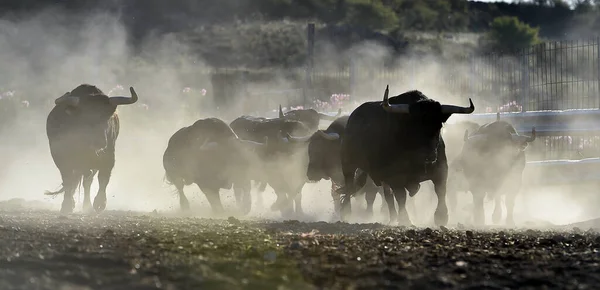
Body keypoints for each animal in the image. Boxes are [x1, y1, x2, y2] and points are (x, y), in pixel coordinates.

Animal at [45, 82, 139, 214]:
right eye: (86, 118)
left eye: (107, 118)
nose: (100, 141)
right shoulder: (61, 157)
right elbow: (68, 179)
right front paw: (67, 205)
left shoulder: (109, 157)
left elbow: (103, 178)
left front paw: (99, 203)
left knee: (87, 181)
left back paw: (87, 205)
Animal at [338, 86, 474, 227]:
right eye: (413, 125)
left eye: (438, 125)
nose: (429, 154)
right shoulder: (395, 176)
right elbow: (401, 197)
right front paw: (405, 219)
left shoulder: (441, 170)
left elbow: (440, 191)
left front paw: (441, 217)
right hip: (348, 164)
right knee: (349, 185)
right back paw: (346, 211)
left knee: (387, 195)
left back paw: (392, 217)